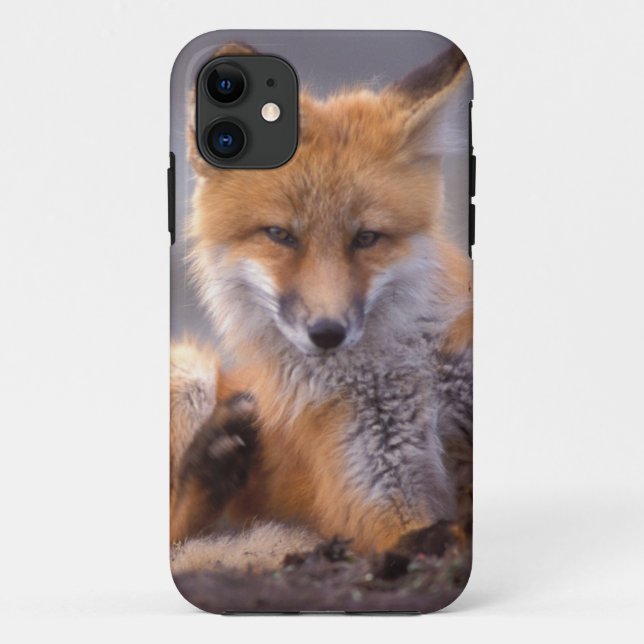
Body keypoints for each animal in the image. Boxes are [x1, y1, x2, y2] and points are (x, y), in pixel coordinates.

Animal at [170, 42, 473, 574]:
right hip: (188, 372)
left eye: (366, 238)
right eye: (280, 235)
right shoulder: (380, 497)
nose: (327, 332)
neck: (405, 370)